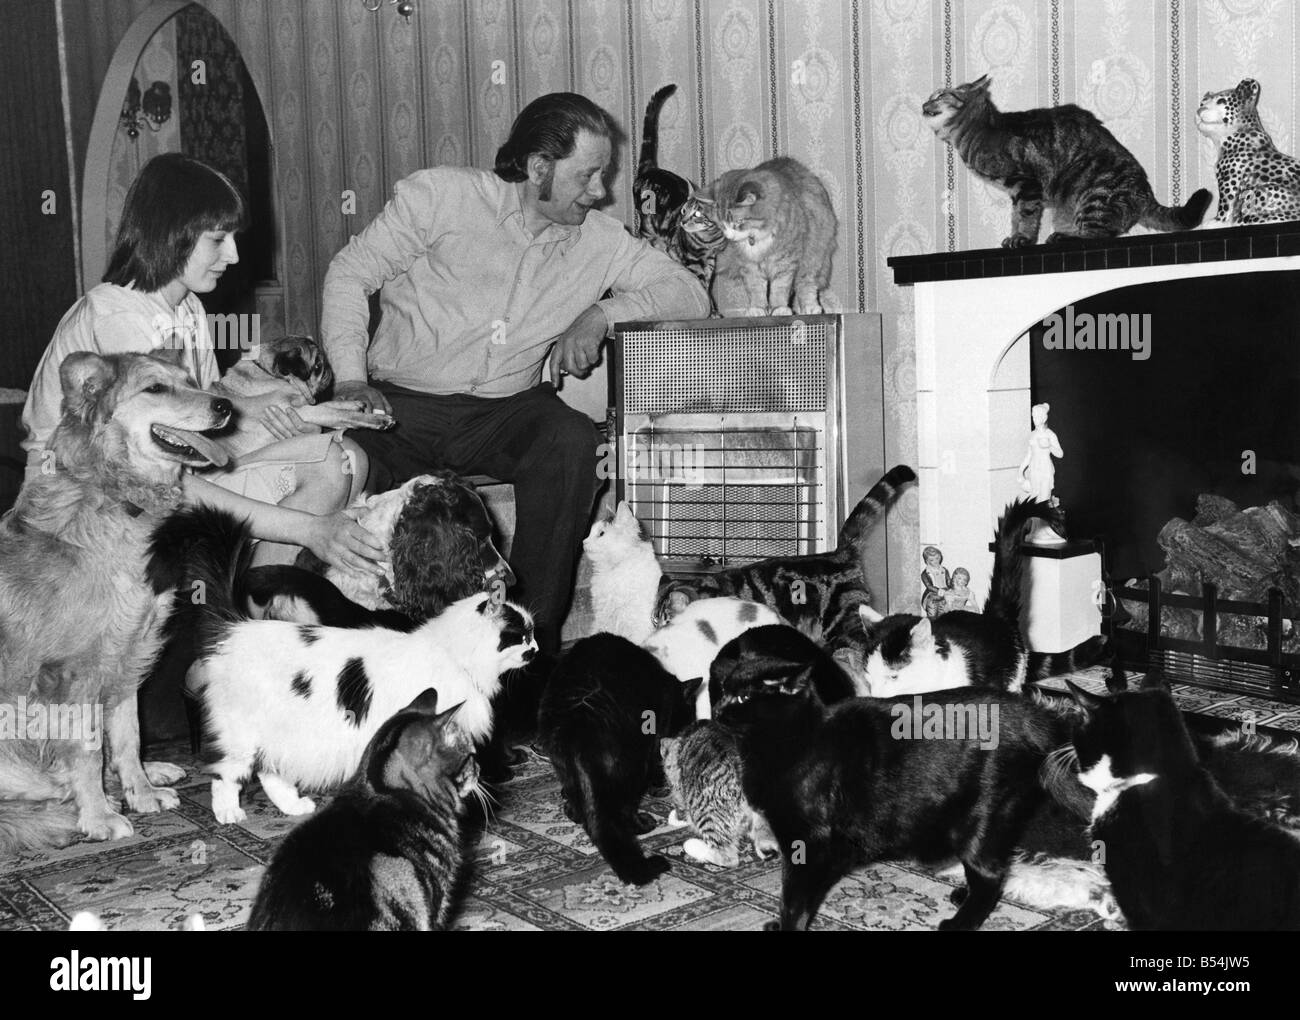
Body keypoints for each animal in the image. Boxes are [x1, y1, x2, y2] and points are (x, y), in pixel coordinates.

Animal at [0, 350, 231, 852]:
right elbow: (87, 749)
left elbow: (127, 736)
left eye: (191, 380)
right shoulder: (74, 674)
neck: (115, 496)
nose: (224, 405)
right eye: (156, 388)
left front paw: (140, 793)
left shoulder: (126, 657)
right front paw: (99, 817)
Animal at [535, 631, 702, 888]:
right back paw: (643, 824)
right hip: (633, 764)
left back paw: (572, 810)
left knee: (577, 801)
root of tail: (579, 725)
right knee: (625, 808)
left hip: (562, 761)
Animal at [655, 717, 774, 867]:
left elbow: (679, 813)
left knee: (728, 858)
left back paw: (694, 846)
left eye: (667, 767)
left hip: (706, 814)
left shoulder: (681, 795)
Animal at [707, 153, 837, 314]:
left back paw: (810, 308)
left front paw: (779, 308)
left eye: (738, 222)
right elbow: (756, 289)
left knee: (806, 285)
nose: (730, 237)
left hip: (813, 257)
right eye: (721, 225)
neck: (757, 237)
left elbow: (779, 289)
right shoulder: (749, 264)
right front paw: (757, 309)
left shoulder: (785, 261)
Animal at [920, 72, 1211, 245]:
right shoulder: (1017, 191)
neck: (978, 130)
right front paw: (1014, 236)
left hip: (1093, 193)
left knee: (1099, 234)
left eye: (940, 94)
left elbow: (1025, 216)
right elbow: (1015, 216)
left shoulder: (1025, 184)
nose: (923, 105)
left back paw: (1064, 236)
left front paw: (1022, 238)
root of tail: (1146, 194)